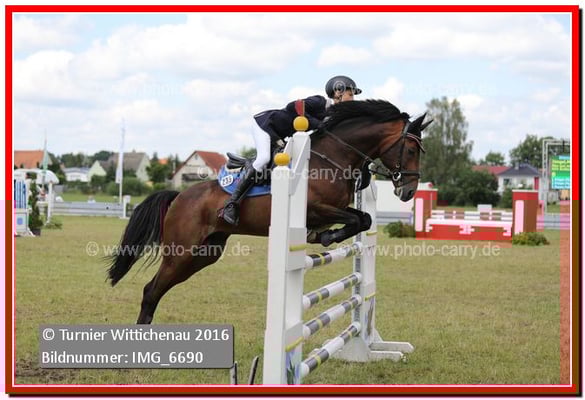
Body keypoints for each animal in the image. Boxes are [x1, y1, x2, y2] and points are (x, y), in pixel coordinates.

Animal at [107, 100, 430, 324]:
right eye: (411, 150)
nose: (408, 192)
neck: (334, 157)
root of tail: (179, 197)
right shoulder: (317, 208)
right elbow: (354, 218)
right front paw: (325, 237)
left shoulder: (335, 208)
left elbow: (364, 218)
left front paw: (325, 236)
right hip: (180, 253)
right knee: (151, 290)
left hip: (204, 254)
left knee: (157, 290)